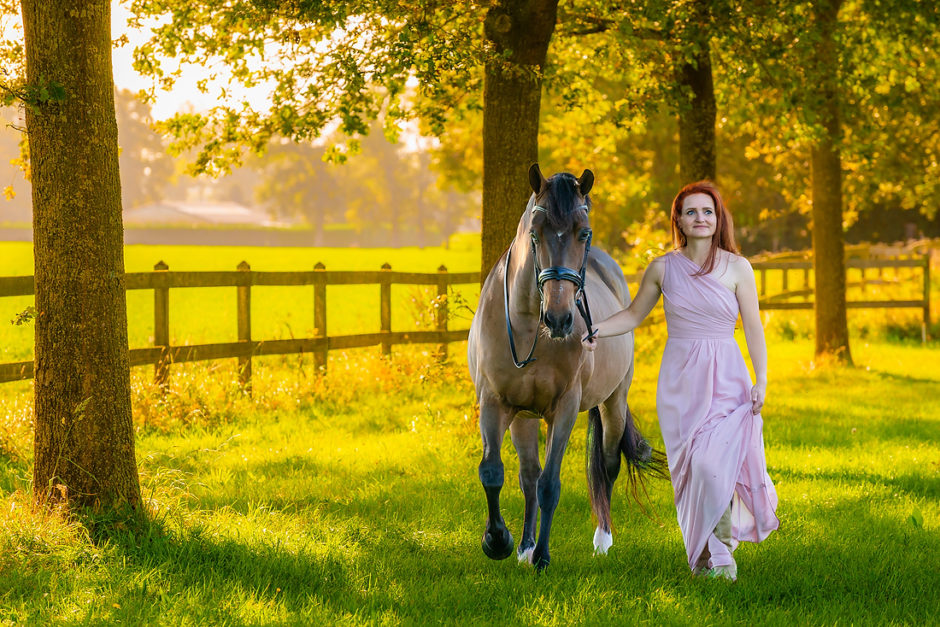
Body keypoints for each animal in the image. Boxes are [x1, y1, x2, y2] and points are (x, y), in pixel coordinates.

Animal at [468, 164, 660, 572]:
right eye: (535, 233)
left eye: (583, 233)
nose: (559, 319)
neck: (528, 326)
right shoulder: (493, 402)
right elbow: (494, 472)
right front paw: (499, 541)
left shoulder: (565, 408)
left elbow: (550, 484)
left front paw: (542, 556)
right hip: (523, 417)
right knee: (527, 475)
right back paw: (524, 546)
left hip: (614, 401)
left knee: (608, 464)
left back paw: (602, 540)